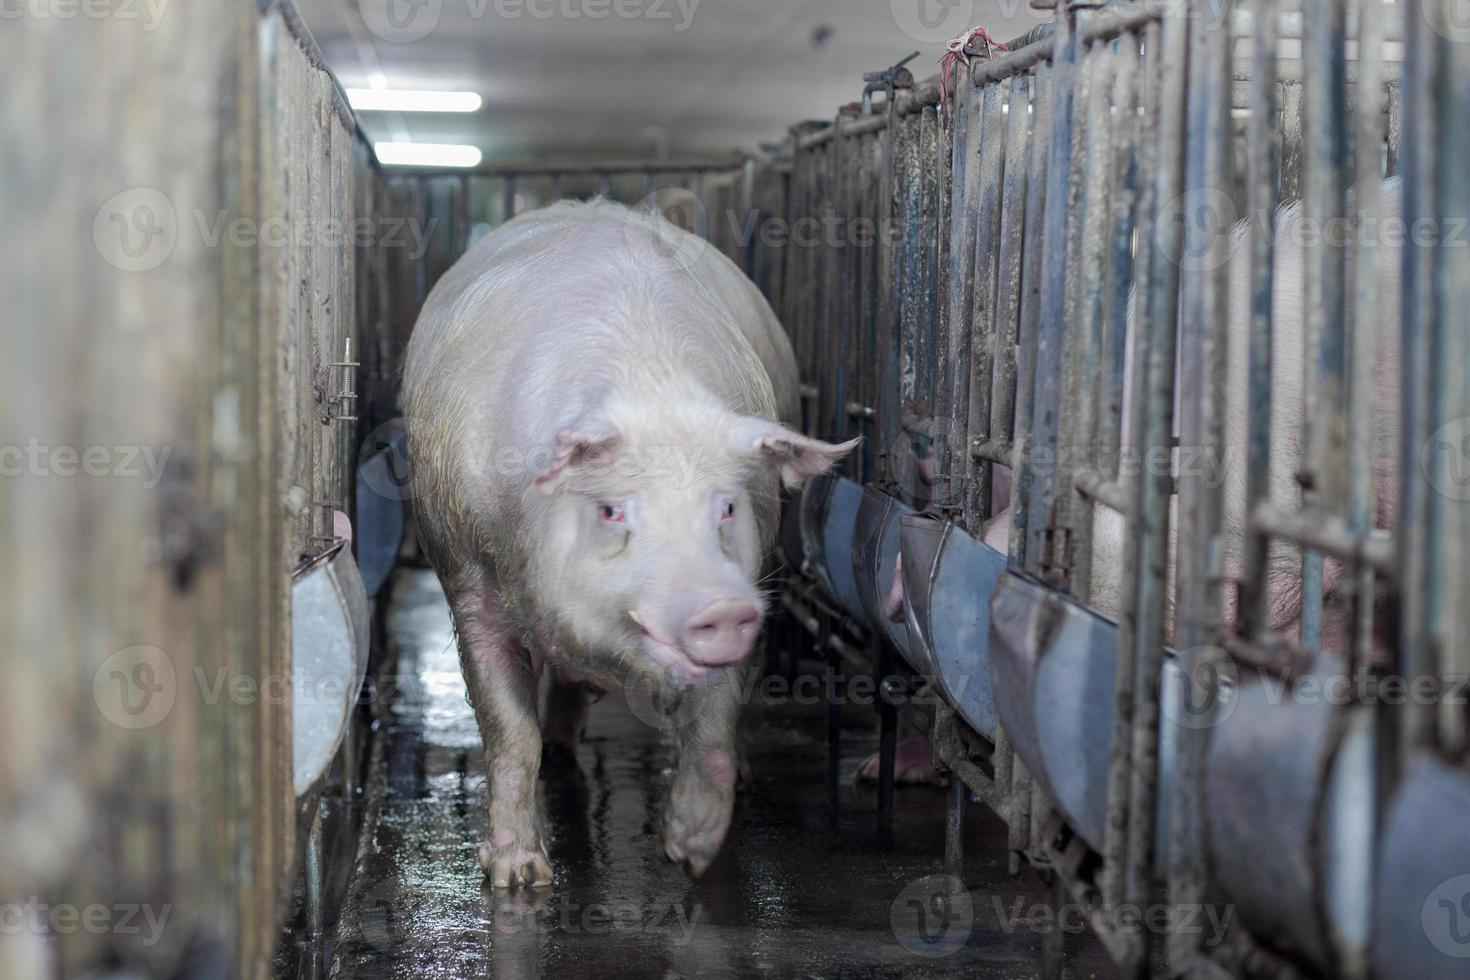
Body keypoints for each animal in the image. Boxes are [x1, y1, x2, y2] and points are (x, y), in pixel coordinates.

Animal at [408, 195, 858, 887]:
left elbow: (712, 727)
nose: (720, 607)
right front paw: (519, 877)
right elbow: (509, 731)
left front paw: (690, 855)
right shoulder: (465, 574)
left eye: (726, 506)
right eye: (612, 510)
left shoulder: (755, 576)